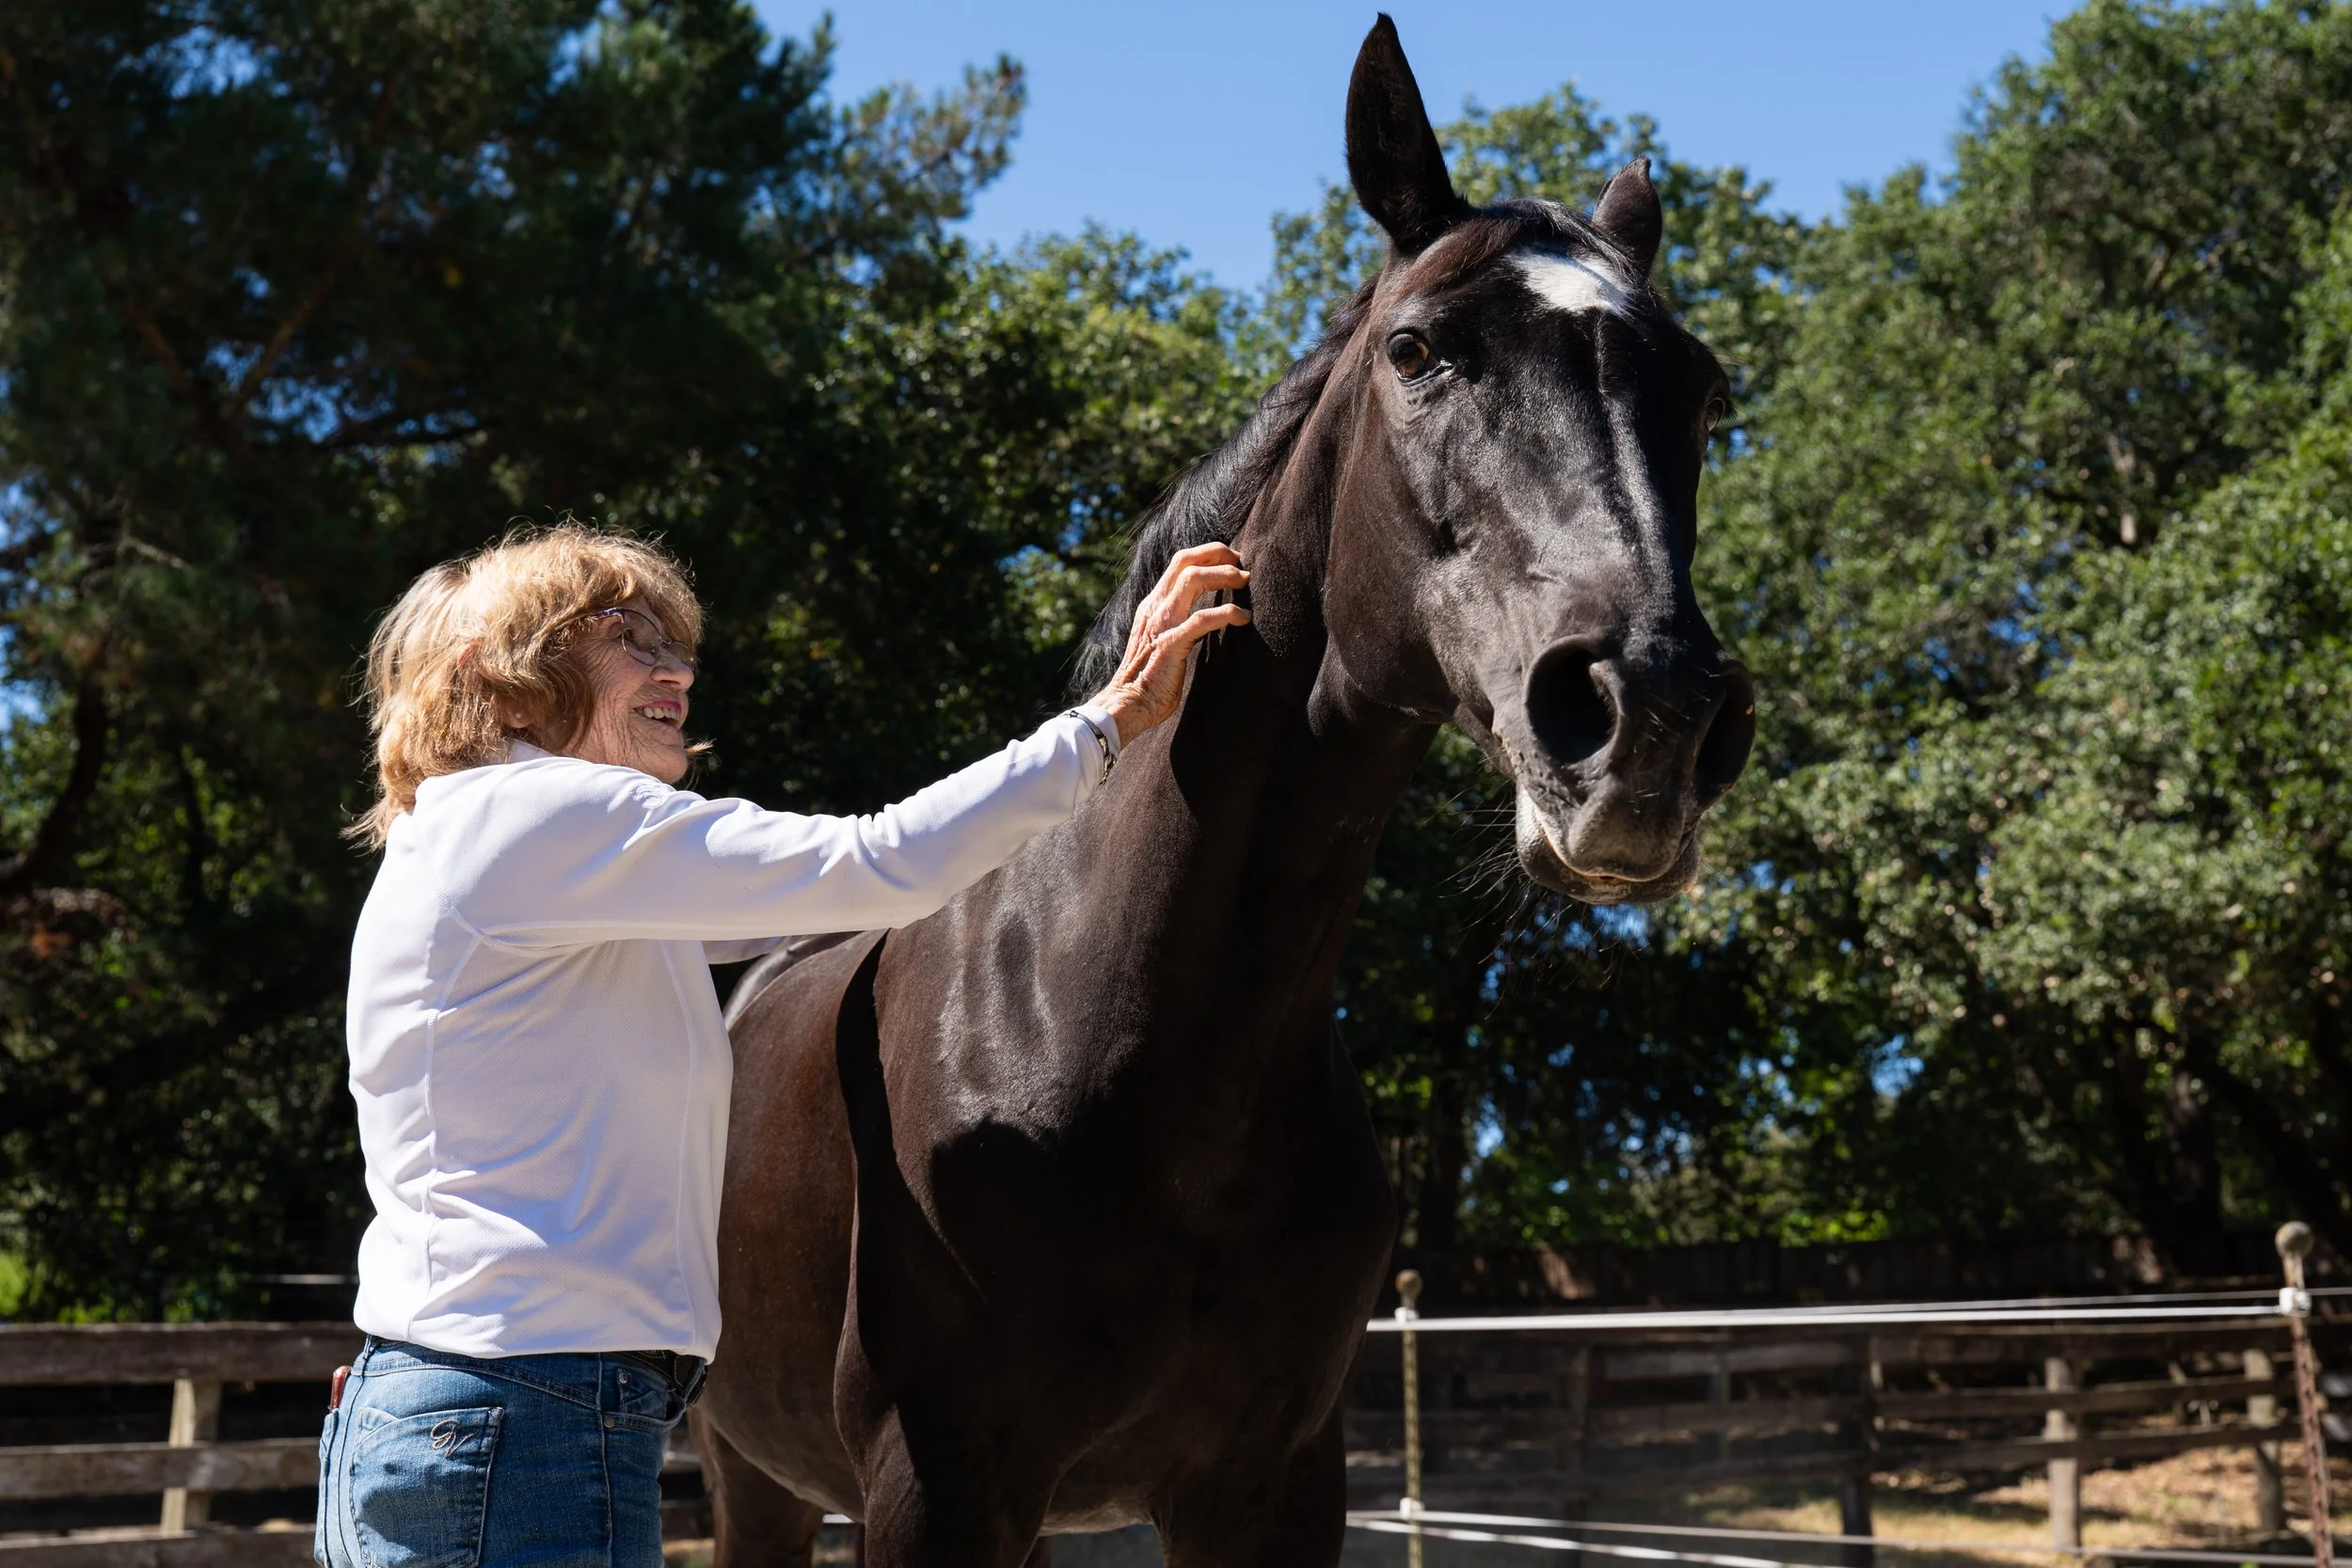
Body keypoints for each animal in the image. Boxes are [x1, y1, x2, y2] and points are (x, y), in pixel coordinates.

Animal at [691, 16, 1755, 1566]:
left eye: (1702, 389)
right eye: (1418, 349)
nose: (1652, 713)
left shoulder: (1271, 1483)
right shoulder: (937, 1488)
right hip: (751, 1476)